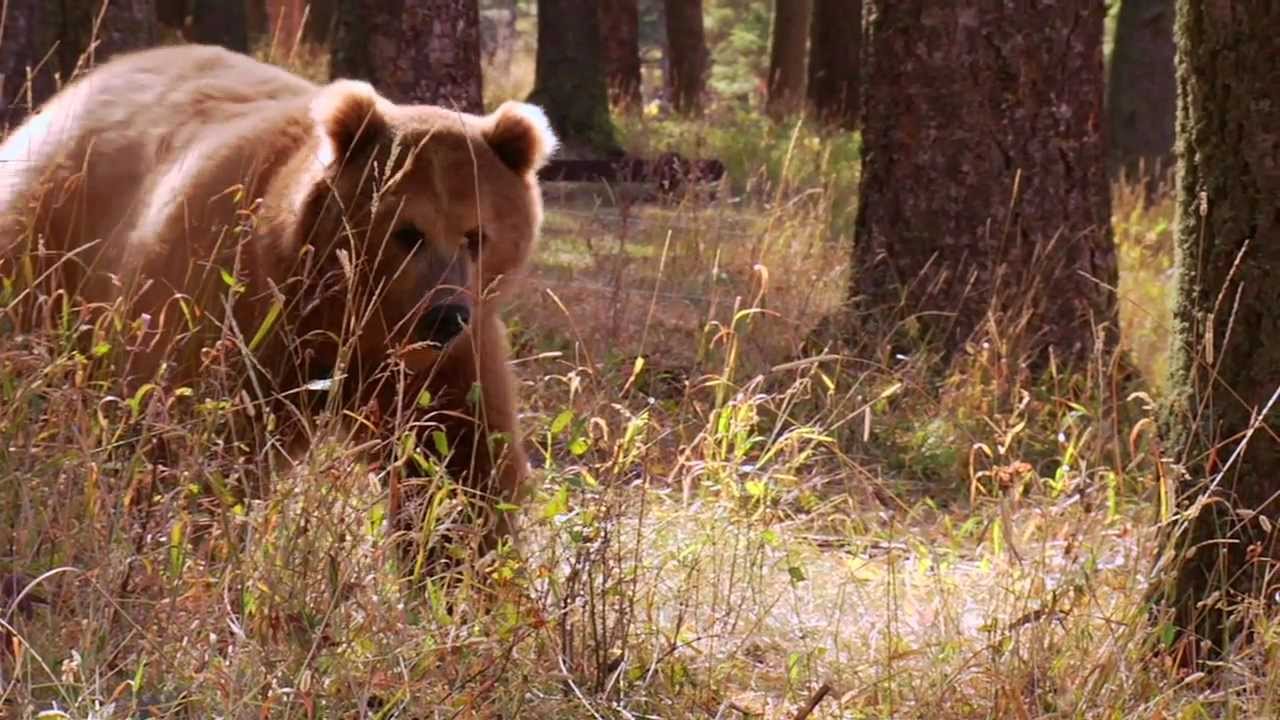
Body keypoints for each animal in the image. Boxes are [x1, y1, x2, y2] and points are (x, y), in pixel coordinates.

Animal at [0, 44, 557, 561]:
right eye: (407, 232)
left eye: (477, 235)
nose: (444, 315)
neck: (348, 315)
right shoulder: (242, 318)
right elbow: (199, 447)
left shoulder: (447, 362)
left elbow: (458, 467)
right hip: (46, 254)